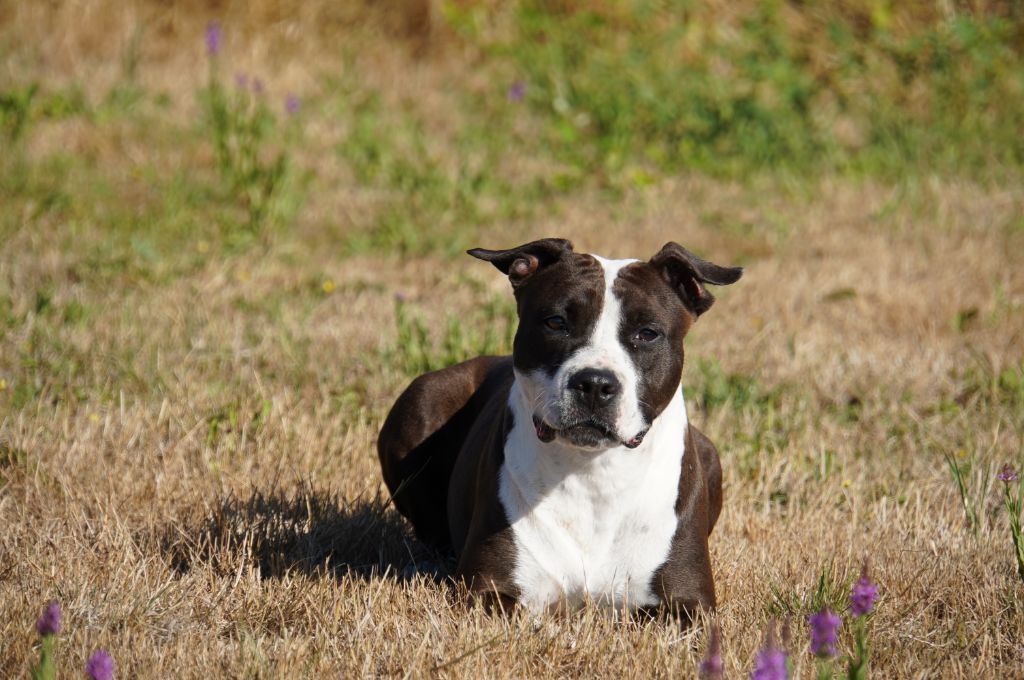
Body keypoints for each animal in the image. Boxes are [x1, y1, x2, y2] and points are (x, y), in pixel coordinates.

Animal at [376, 238, 745, 614]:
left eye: (647, 333)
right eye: (556, 322)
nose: (595, 383)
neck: (593, 472)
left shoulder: (689, 603)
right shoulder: (488, 591)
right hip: (422, 399)